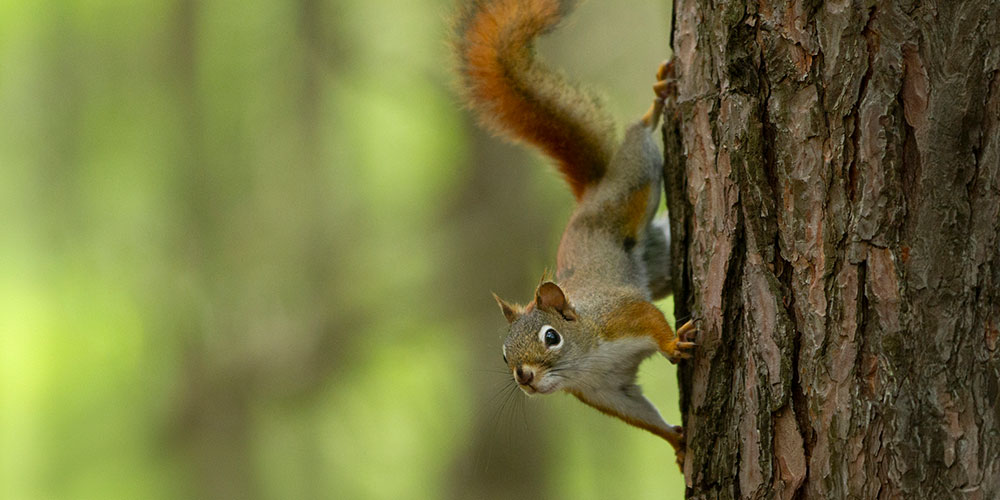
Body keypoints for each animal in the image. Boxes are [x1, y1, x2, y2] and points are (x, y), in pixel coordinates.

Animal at [452, 0, 696, 466]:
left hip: (630, 186)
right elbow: (641, 416)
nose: (525, 377)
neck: (585, 361)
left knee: (637, 143)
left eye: (551, 337)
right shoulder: (606, 391)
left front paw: (674, 345)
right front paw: (678, 441)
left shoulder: (619, 314)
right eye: (505, 354)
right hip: (658, 263)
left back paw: (654, 104)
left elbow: (650, 318)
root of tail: (588, 195)